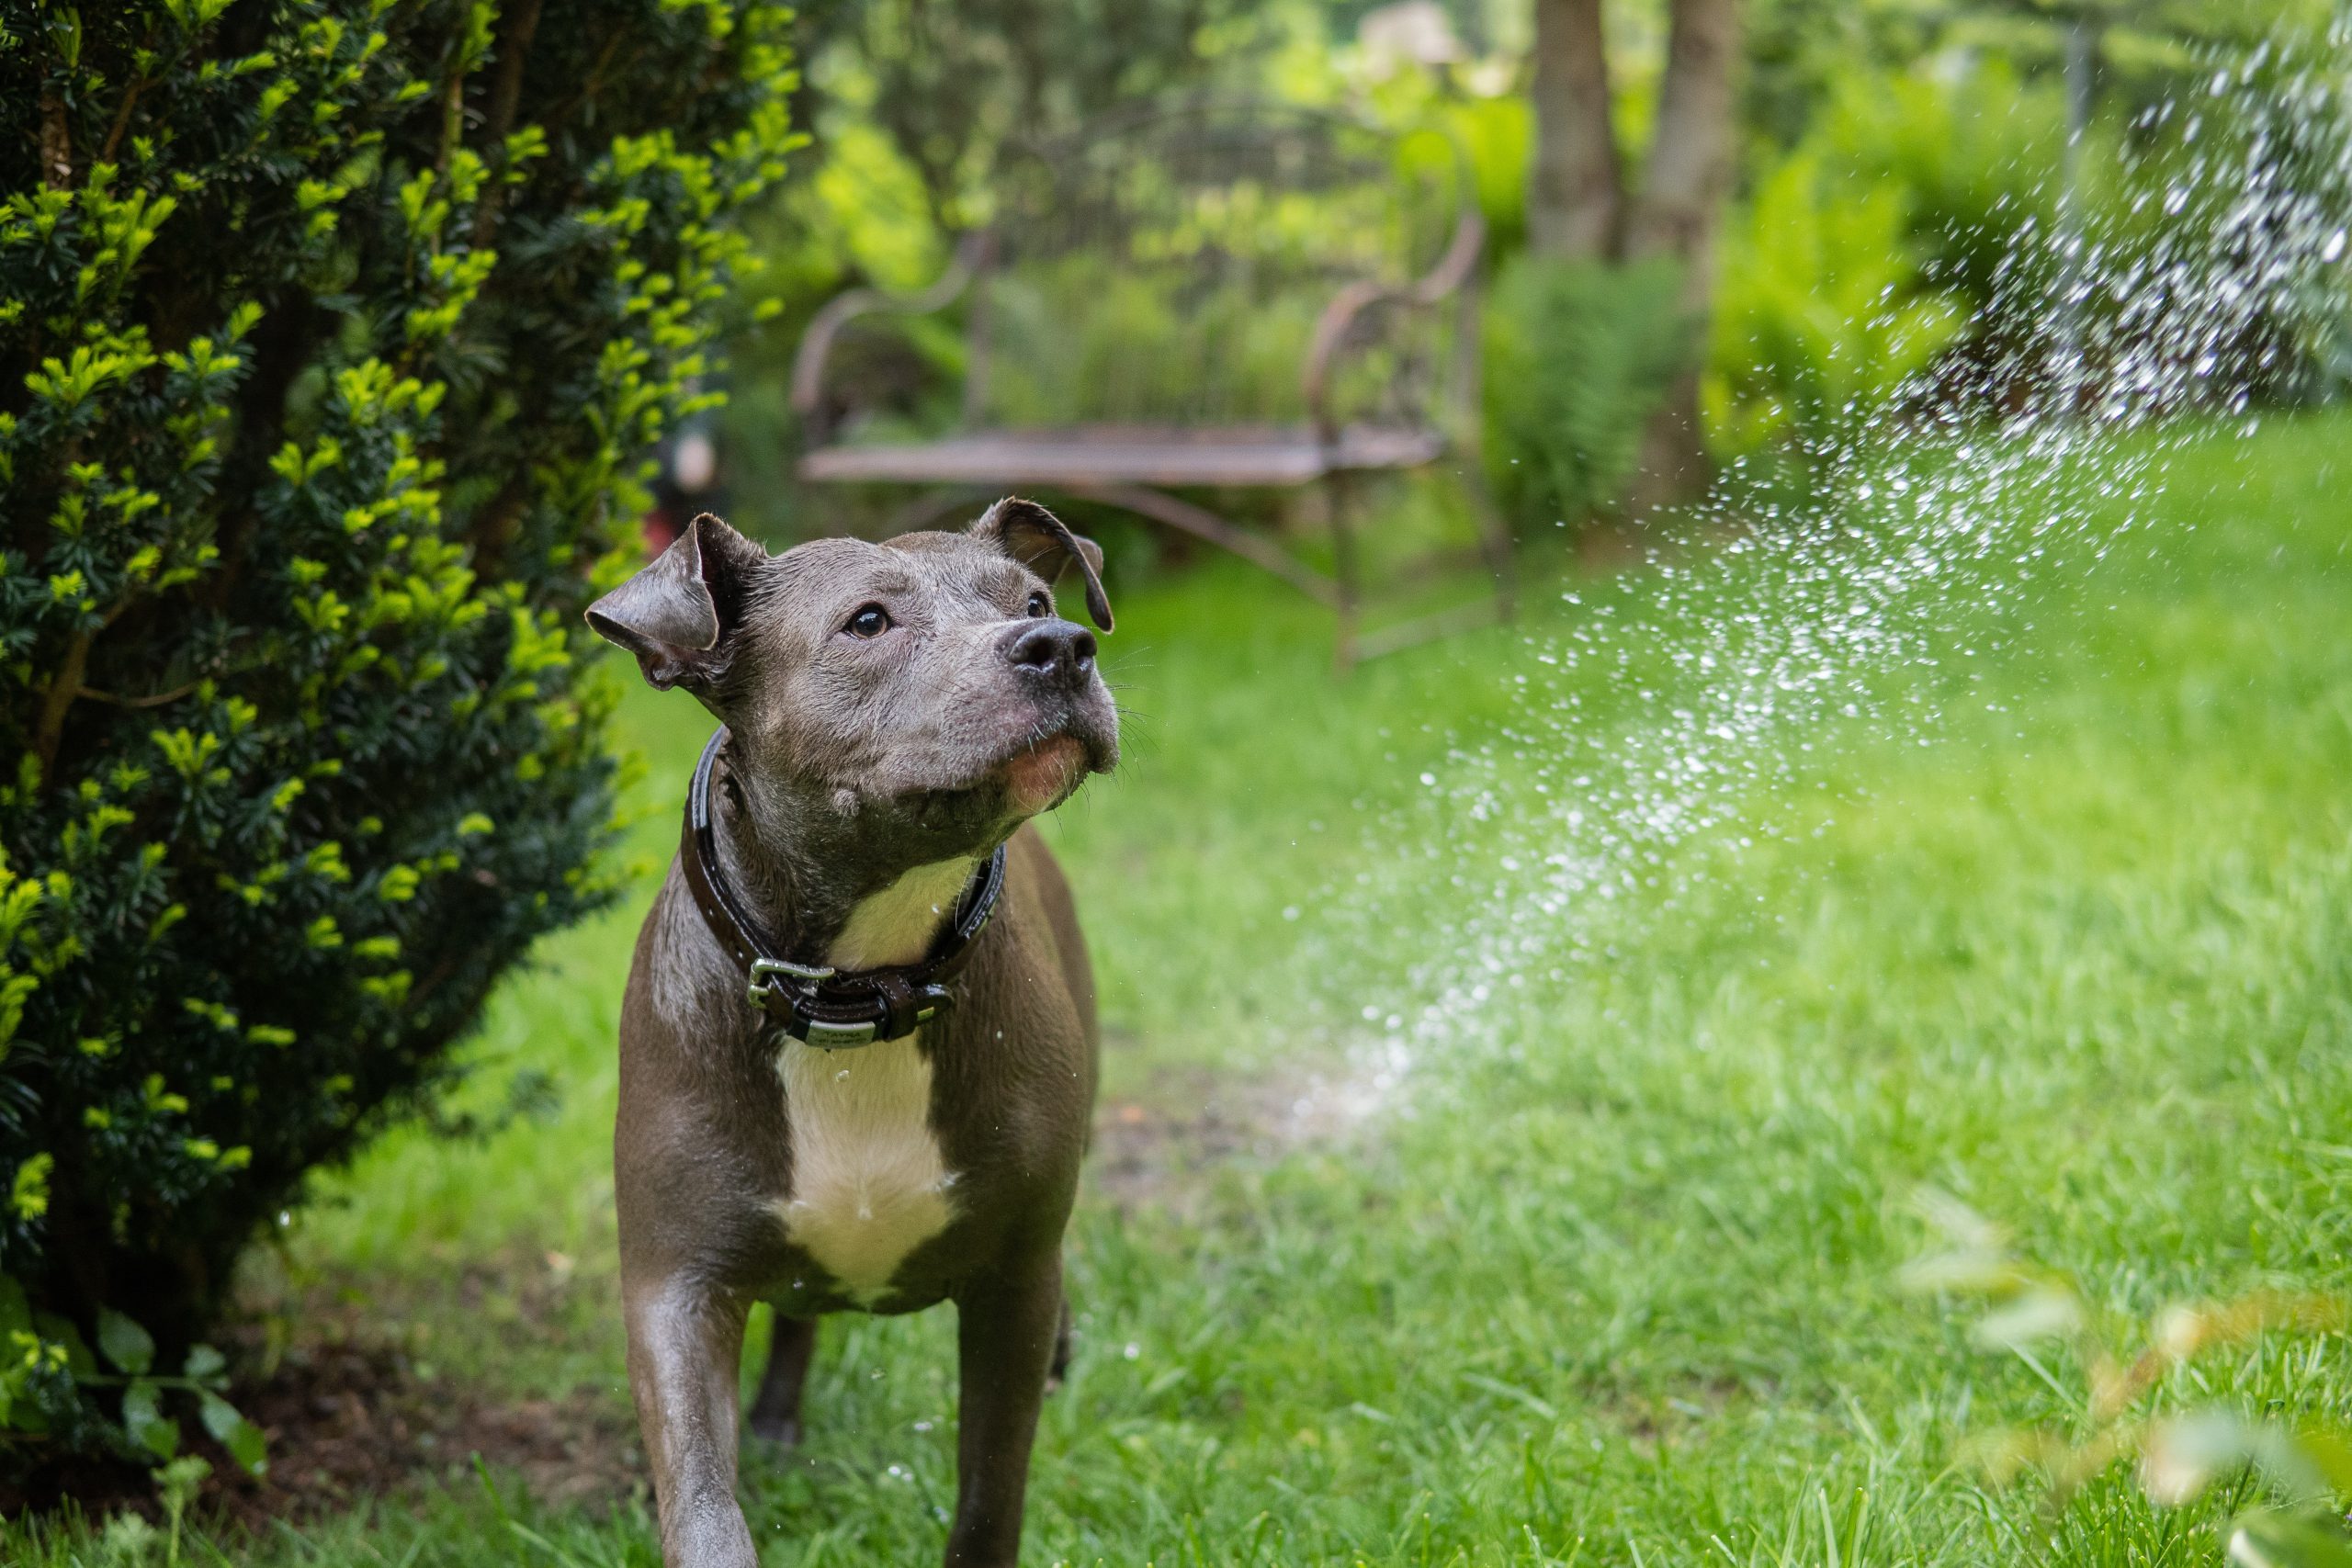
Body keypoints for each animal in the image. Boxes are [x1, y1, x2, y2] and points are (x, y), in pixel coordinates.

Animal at [576, 502, 1110, 1568]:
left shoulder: (1013, 1280)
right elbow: (703, 1508)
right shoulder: (674, 1287)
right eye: (867, 623)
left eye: (1036, 600)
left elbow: (990, 1492)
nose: (1061, 646)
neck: (860, 990)